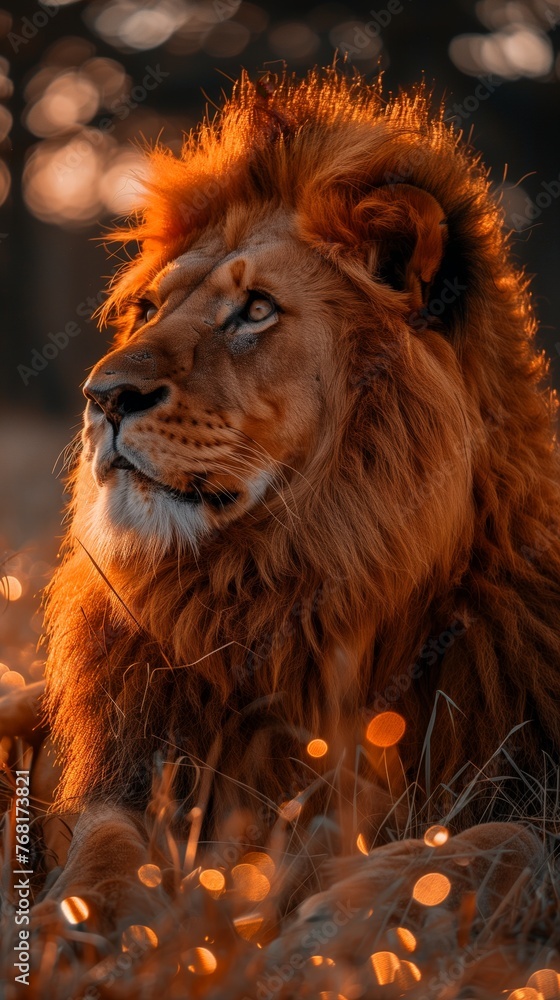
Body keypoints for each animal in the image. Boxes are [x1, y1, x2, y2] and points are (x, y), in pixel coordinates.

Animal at [28, 69, 560, 935]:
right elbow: (103, 847)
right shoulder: (137, 768)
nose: (102, 397)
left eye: (255, 309)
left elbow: (504, 842)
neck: (288, 588)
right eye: (148, 310)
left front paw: (322, 924)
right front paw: (72, 929)